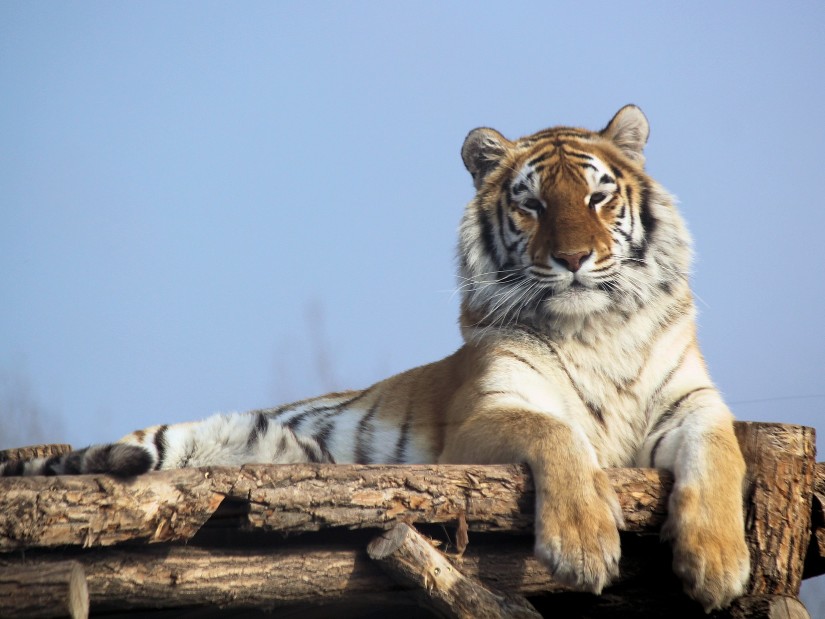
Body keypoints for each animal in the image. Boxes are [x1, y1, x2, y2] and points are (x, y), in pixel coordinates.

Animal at [0, 105, 748, 612]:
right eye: (532, 205)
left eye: (598, 196)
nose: (572, 259)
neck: (593, 329)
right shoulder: (486, 417)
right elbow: (557, 433)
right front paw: (584, 547)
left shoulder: (693, 404)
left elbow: (723, 453)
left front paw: (717, 565)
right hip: (171, 438)